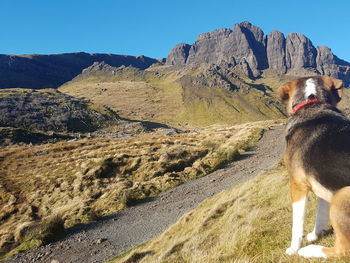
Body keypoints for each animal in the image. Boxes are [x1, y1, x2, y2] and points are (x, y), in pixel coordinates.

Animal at [280, 75, 350, 258]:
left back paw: (308, 250)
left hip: (342, 195)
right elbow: (321, 211)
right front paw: (315, 234)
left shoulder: (297, 185)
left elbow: (297, 223)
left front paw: (293, 248)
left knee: (342, 250)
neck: (311, 103)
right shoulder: (323, 177)